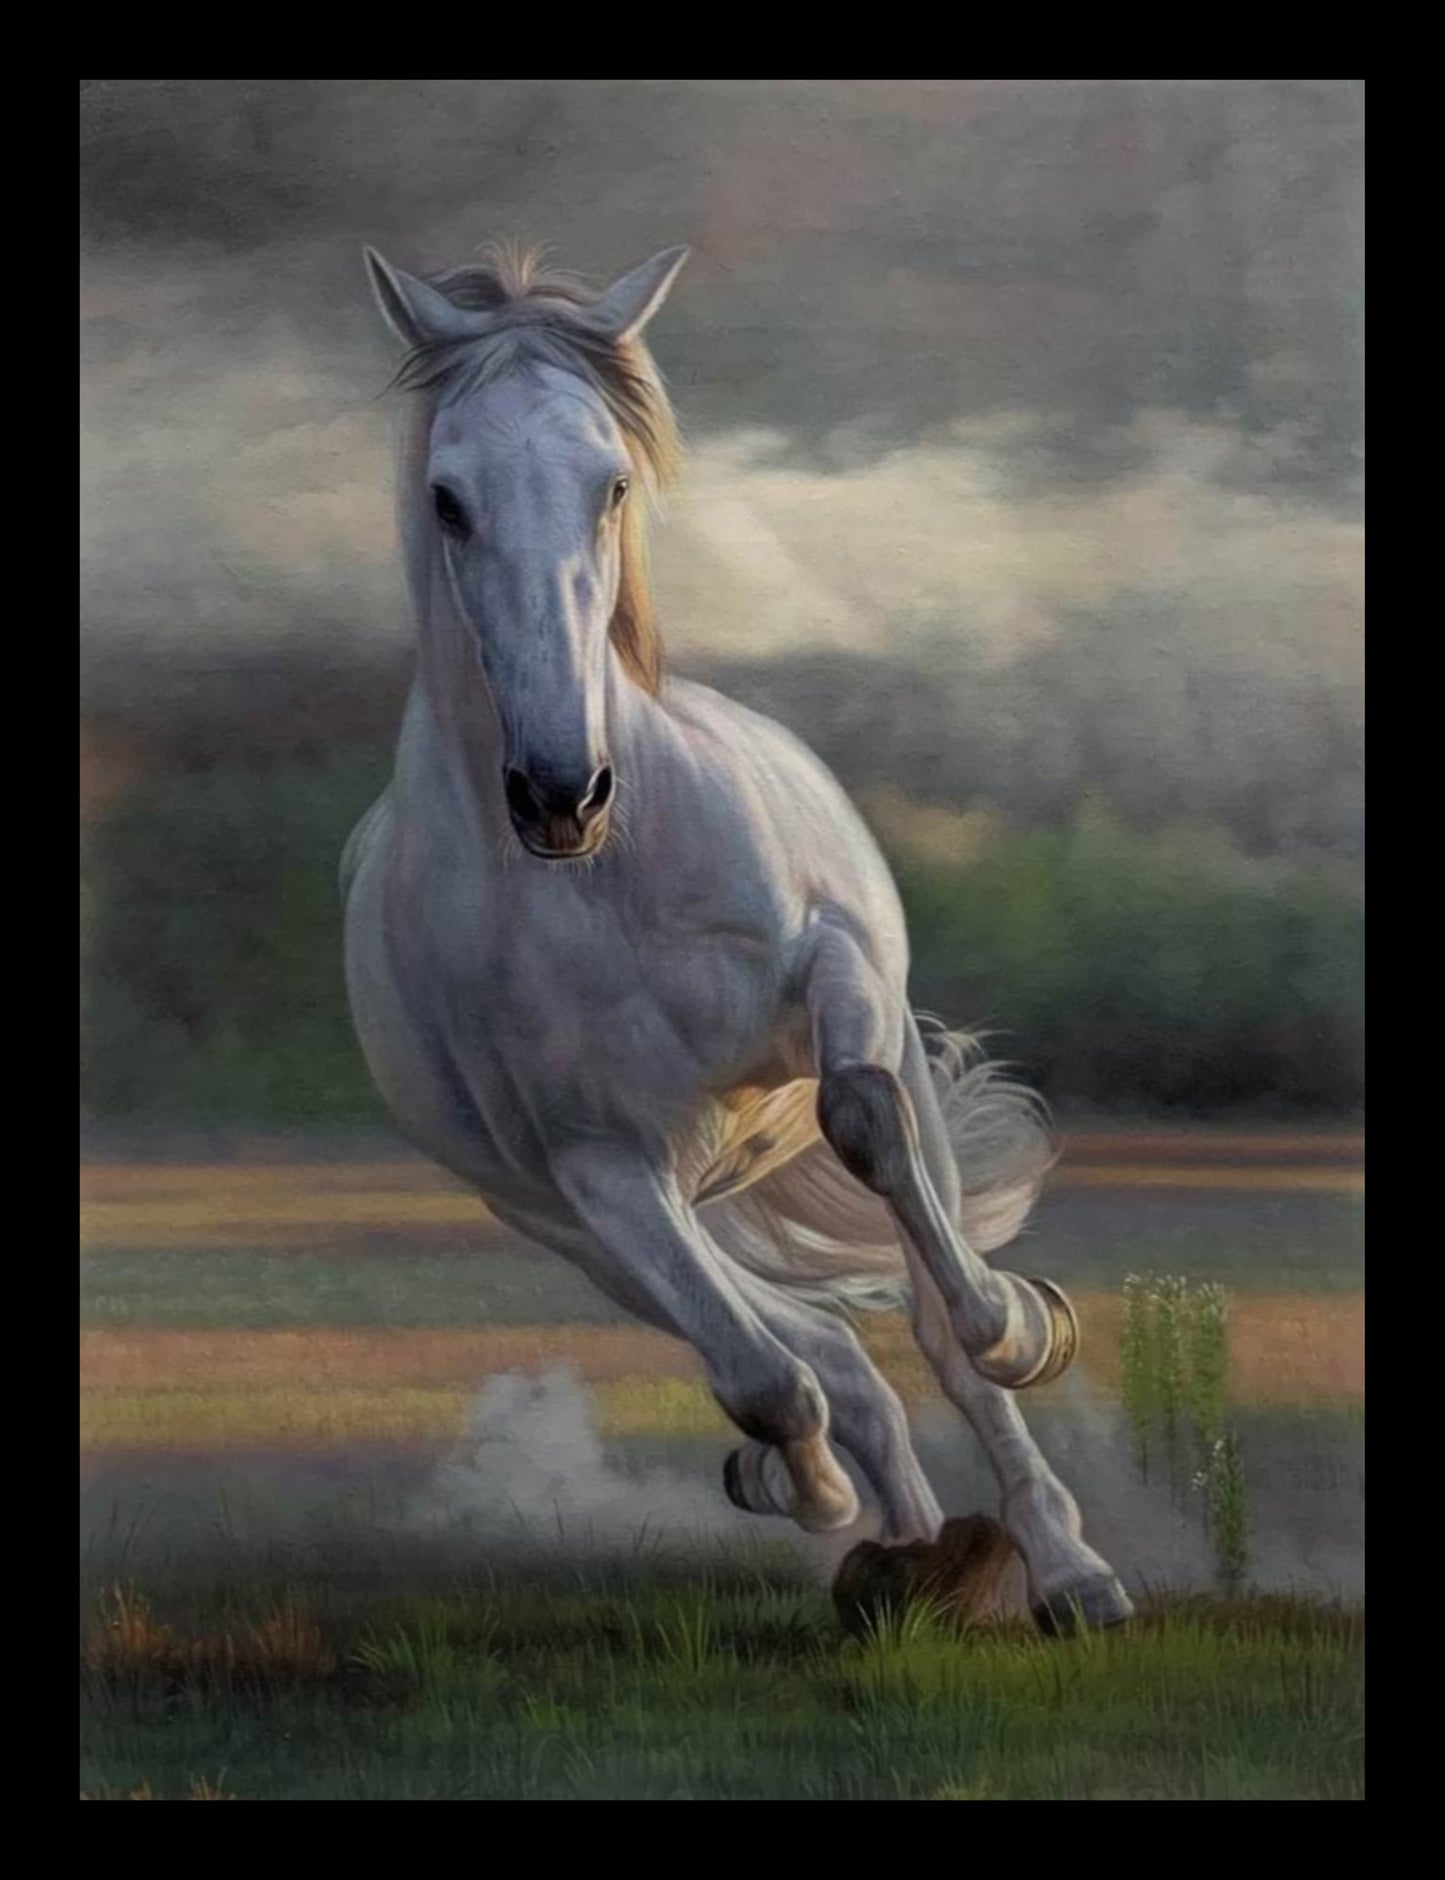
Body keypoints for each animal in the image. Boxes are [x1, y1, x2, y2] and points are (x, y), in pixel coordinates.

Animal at [342, 241, 1133, 1634]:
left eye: (609, 481)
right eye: (447, 498)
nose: (559, 791)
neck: (605, 883)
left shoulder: (836, 978)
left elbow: (869, 1131)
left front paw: (1022, 1325)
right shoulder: (598, 1171)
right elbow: (771, 1381)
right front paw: (799, 1485)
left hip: (842, 1089)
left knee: (928, 1325)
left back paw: (1067, 1564)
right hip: (587, 1226)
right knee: (821, 1360)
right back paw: (892, 1544)